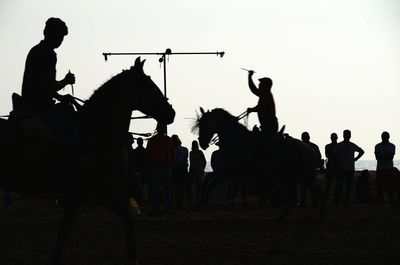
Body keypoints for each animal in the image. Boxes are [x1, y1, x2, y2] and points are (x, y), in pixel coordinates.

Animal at [0, 56, 175, 262]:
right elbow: (123, 218)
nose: (171, 113)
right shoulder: (99, 189)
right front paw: (133, 255)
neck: (97, 132)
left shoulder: (88, 193)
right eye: (147, 85)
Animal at [192, 106, 326, 220]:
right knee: (303, 196)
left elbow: (211, 184)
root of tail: (309, 149)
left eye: (203, 124)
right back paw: (283, 217)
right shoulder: (228, 172)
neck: (236, 140)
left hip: (301, 177)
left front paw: (199, 204)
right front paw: (199, 202)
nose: (202, 143)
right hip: (291, 177)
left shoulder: (228, 172)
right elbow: (208, 179)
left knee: (314, 193)